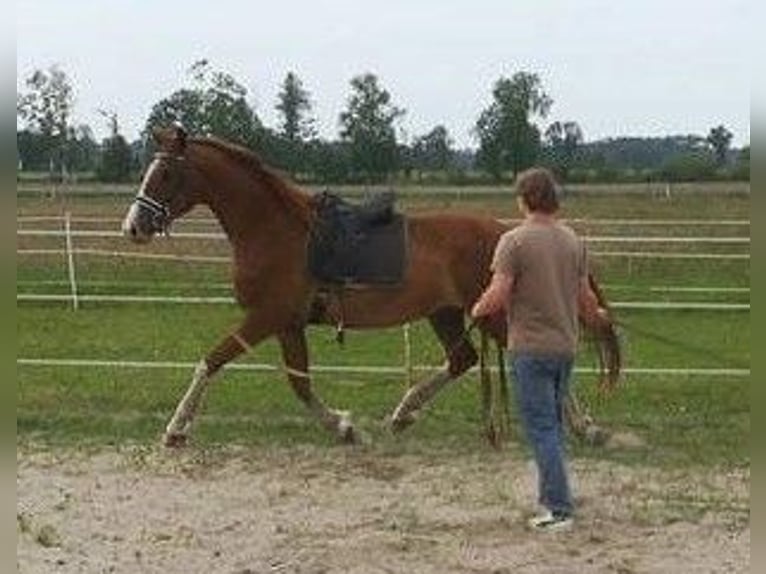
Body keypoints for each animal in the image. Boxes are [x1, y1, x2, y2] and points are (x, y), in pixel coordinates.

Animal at [121, 125, 624, 450]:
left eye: (165, 174)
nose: (134, 227)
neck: (275, 230)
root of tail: (506, 231)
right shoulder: (288, 323)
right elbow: (300, 383)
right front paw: (345, 428)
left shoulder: (267, 317)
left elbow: (210, 362)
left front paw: (176, 428)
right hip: (445, 312)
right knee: (462, 359)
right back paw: (402, 414)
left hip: (493, 313)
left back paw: (585, 427)